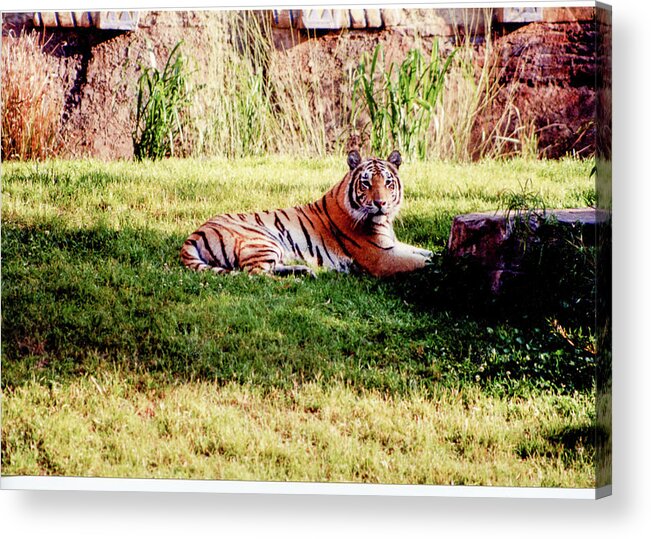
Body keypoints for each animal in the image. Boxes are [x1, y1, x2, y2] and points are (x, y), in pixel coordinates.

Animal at [180, 151, 432, 278]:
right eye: (366, 183)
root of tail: (194, 234)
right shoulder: (381, 257)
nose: (381, 203)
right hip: (263, 240)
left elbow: (424, 251)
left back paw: (305, 271)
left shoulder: (392, 244)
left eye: (388, 183)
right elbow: (421, 262)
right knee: (255, 275)